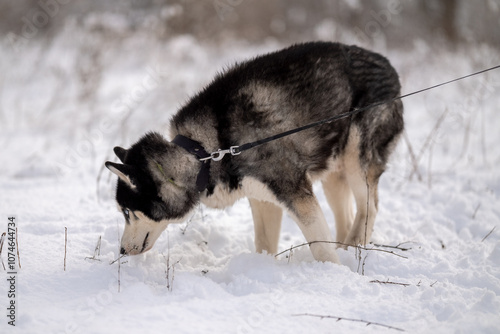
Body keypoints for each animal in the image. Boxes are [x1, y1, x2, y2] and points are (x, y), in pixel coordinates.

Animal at [105, 41, 402, 264]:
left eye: (128, 212)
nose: (121, 250)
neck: (207, 152)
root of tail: (388, 64)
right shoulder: (263, 200)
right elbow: (264, 244)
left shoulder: (297, 195)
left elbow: (321, 248)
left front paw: (332, 273)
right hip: (333, 173)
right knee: (348, 216)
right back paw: (348, 251)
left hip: (356, 158)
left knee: (369, 208)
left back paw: (354, 251)